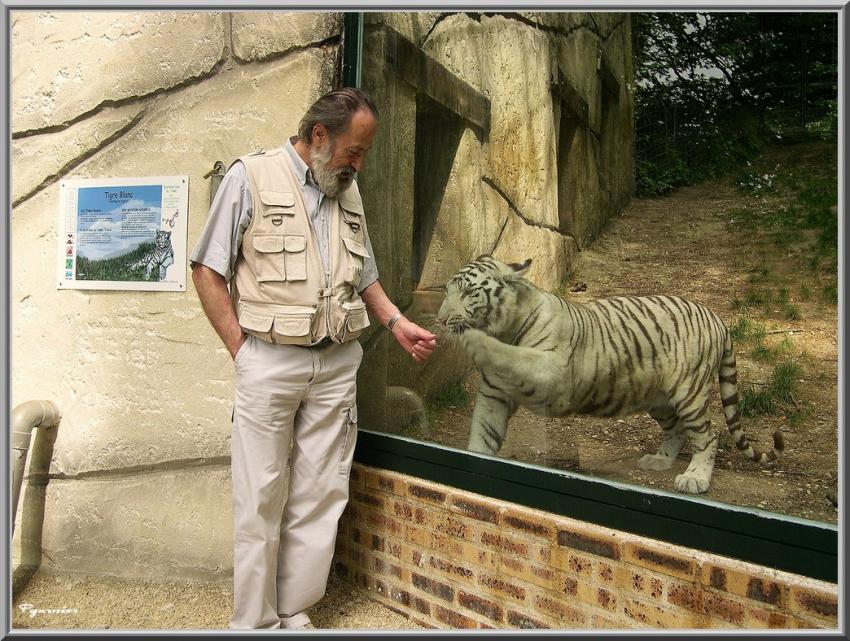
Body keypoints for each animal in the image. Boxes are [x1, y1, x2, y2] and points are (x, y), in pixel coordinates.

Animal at [434, 255, 783, 494]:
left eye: (469, 293)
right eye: (447, 291)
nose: (440, 320)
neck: (504, 327)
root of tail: (718, 319)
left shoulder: (550, 371)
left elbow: (510, 354)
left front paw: (472, 340)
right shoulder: (494, 395)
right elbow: (483, 434)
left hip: (691, 393)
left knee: (708, 436)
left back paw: (694, 478)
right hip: (658, 399)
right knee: (677, 430)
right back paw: (659, 460)